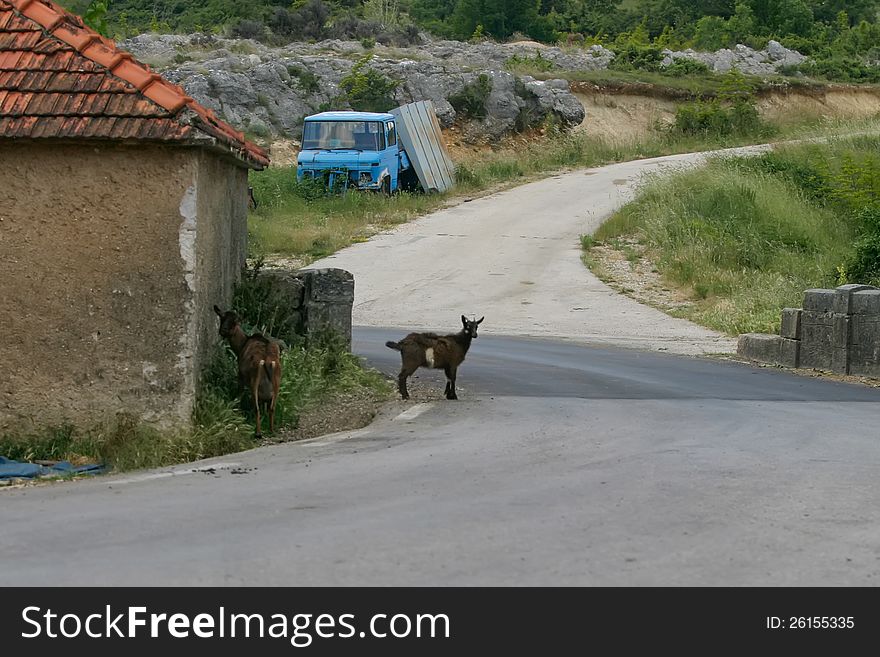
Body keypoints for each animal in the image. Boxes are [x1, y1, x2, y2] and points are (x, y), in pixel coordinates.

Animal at [214, 304, 280, 438]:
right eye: (222, 318)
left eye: (234, 322)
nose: (223, 330)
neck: (240, 346)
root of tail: (267, 361)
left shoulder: (240, 374)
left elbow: (239, 395)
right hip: (277, 379)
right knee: (271, 407)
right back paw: (271, 430)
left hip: (254, 380)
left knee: (256, 407)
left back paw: (258, 433)